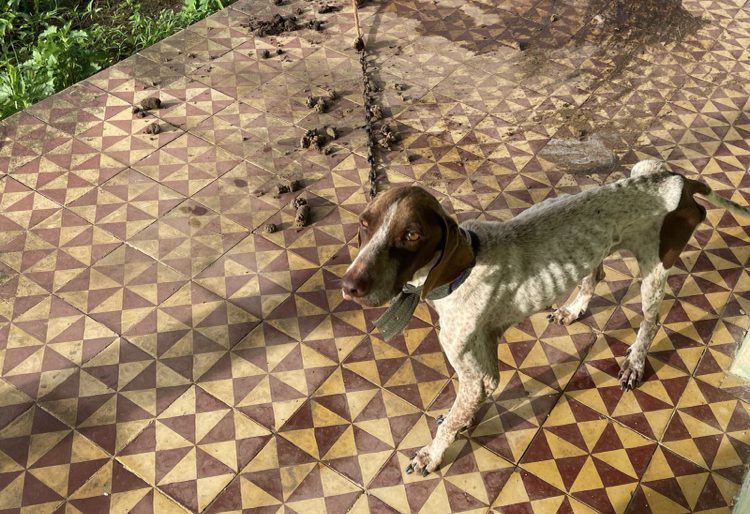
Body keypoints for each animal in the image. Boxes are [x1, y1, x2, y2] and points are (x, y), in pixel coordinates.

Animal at [341, 160, 750, 476]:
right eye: (363, 224)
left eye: (411, 235)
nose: (349, 285)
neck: (460, 271)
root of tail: (680, 181)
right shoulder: (477, 369)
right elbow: (463, 407)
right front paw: (463, 420)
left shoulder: (478, 372)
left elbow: (456, 416)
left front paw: (433, 453)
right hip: (628, 194)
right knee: (595, 273)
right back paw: (574, 307)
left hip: (655, 269)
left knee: (649, 323)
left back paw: (634, 362)